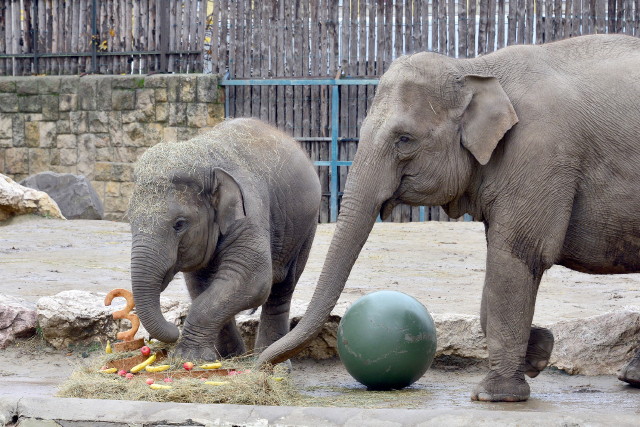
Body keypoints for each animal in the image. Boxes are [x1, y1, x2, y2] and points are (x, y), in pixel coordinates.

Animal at [128, 118, 322, 362]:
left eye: (179, 224)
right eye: (129, 220)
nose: (171, 331)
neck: (206, 159)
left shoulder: (250, 211)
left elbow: (252, 278)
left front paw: (188, 357)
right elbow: (201, 285)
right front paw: (225, 357)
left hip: (305, 227)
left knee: (283, 286)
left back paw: (270, 361)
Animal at [258, 35, 640, 402]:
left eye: (404, 139)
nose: (261, 370)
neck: (475, 68)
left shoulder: (541, 153)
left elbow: (518, 253)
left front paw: (494, 395)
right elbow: (500, 262)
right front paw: (540, 352)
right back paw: (631, 378)